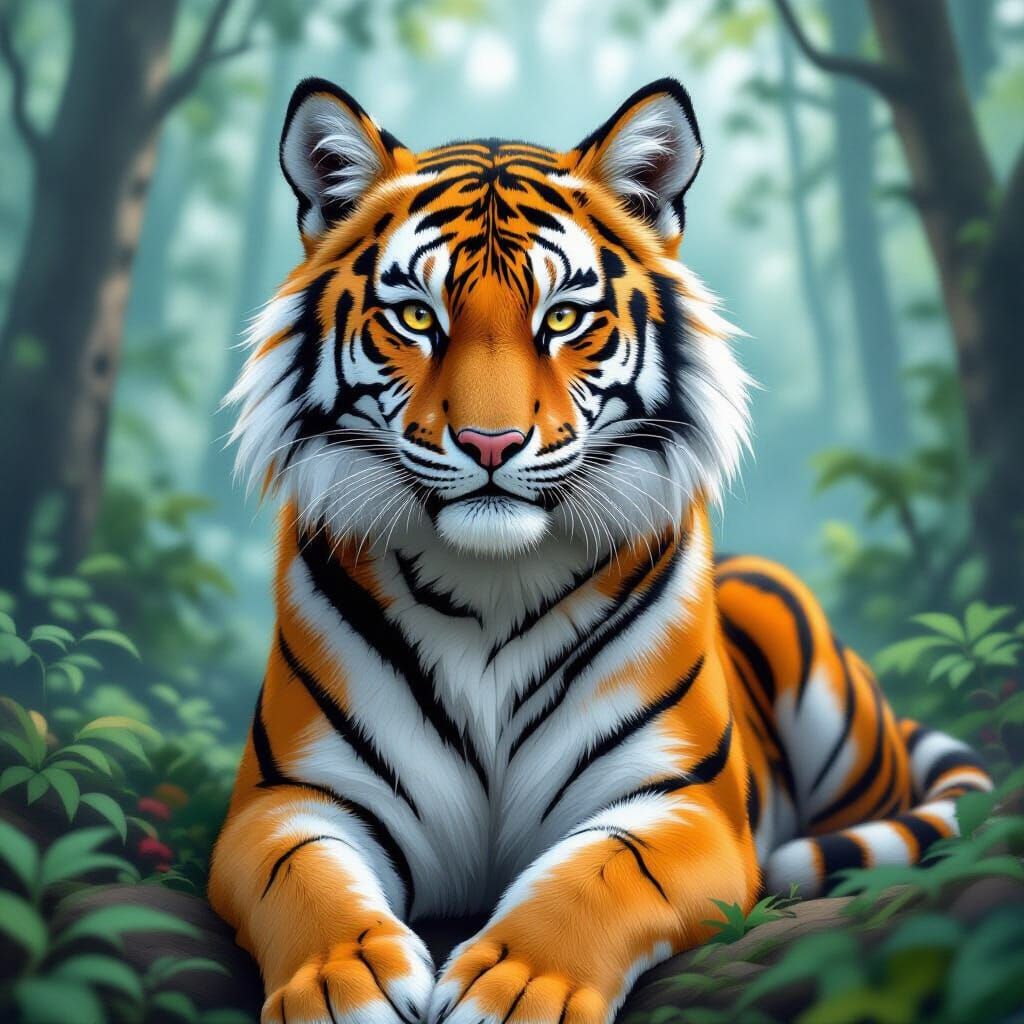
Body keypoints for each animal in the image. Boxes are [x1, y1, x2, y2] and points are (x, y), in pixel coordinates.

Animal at [208, 77, 993, 1024]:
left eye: (564, 318)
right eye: (417, 316)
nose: (491, 443)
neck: (489, 584)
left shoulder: (678, 803)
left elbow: (599, 876)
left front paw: (518, 990)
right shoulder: (288, 799)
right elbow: (307, 881)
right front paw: (339, 983)